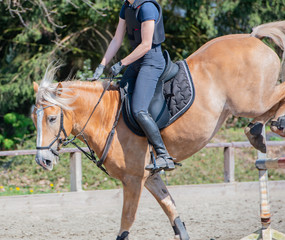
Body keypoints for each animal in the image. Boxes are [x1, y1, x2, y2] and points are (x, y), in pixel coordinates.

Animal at [31, 21, 284, 240]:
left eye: (52, 118)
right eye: (35, 119)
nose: (43, 160)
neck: (106, 116)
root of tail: (251, 38)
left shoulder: (133, 180)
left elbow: (126, 222)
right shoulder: (150, 178)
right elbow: (172, 212)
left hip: (251, 101)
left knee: (278, 94)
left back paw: (267, 127)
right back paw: (261, 130)